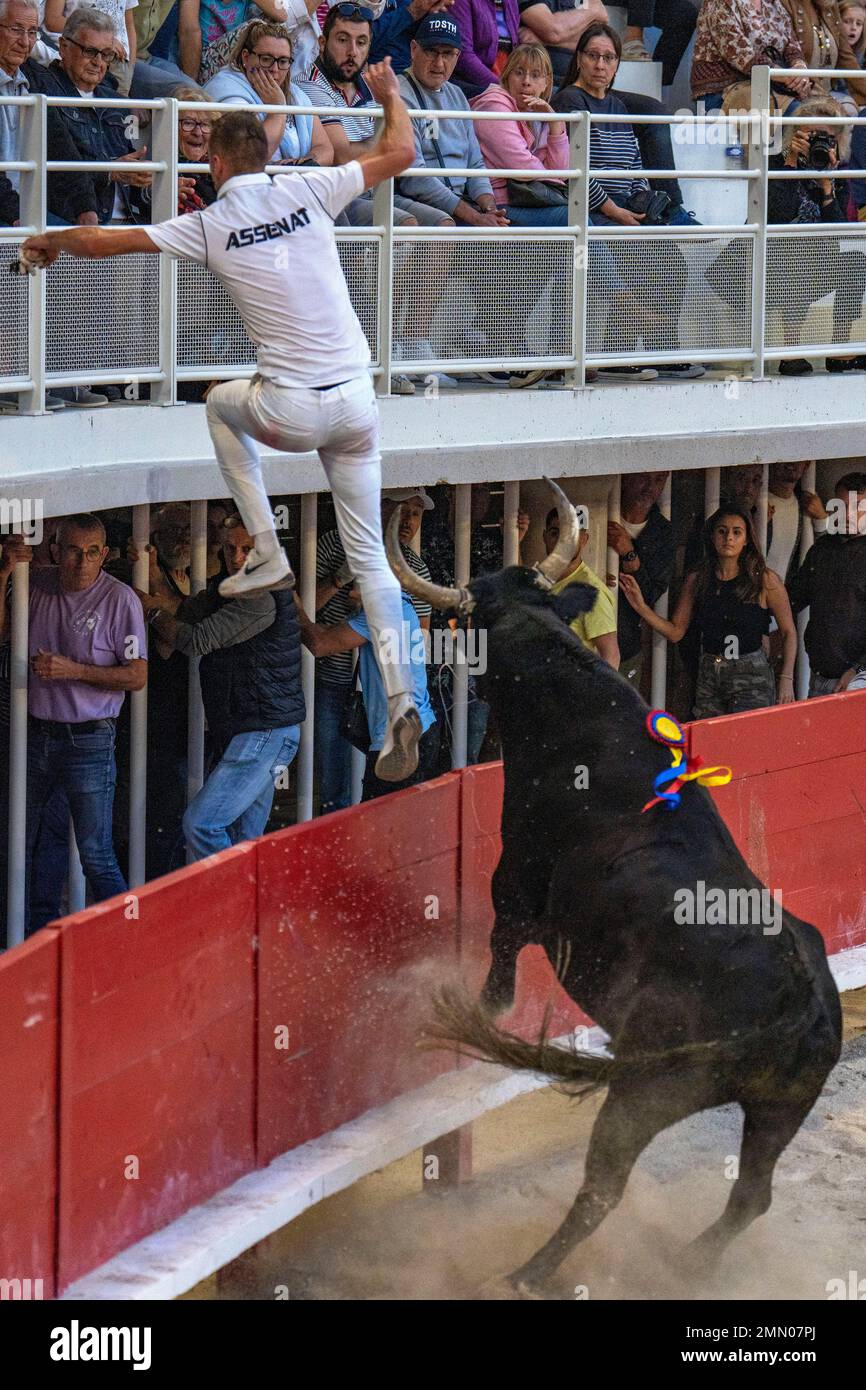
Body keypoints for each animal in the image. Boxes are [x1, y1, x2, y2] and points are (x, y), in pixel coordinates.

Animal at [383, 497, 839, 1289]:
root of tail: (798, 1001)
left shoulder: (518, 875)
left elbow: (503, 934)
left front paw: (488, 1006)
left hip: (645, 1093)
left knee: (604, 1186)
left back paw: (526, 1276)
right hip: (780, 1109)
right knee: (751, 1196)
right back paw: (686, 1266)